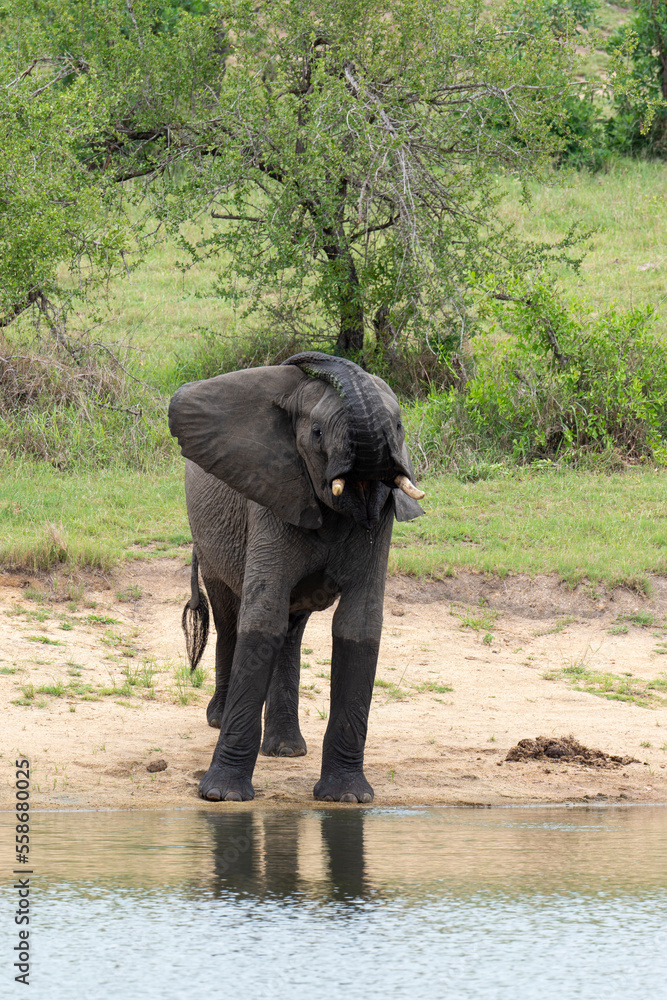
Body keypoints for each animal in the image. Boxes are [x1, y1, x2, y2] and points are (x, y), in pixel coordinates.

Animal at [168, 351, 424, 803]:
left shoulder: (384, 518)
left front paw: (347, 799)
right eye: (317, 433)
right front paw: (221, 797)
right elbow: (261, 618)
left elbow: (358, 625)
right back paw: (219, 720)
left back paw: (286, 749)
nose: (312, 360)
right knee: (231, 619)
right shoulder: (270, 494)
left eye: (398, 427)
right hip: (211, 542)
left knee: (290, 629)